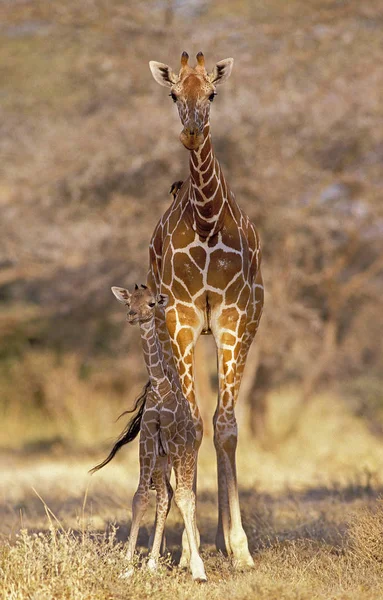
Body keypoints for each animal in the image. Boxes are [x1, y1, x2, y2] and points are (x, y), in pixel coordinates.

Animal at [112, 284, 207, 584]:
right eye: (128, 302)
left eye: (152, 303)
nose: (132, 315)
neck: (160, 386)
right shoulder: (148, 441)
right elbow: (141, 497)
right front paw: (128, 566)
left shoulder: (175, 443)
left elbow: (184, 498)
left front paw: (198, 570)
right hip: (161, 459)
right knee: (165, 495)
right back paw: (153, 563)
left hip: (186, 454)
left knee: (186, 496)